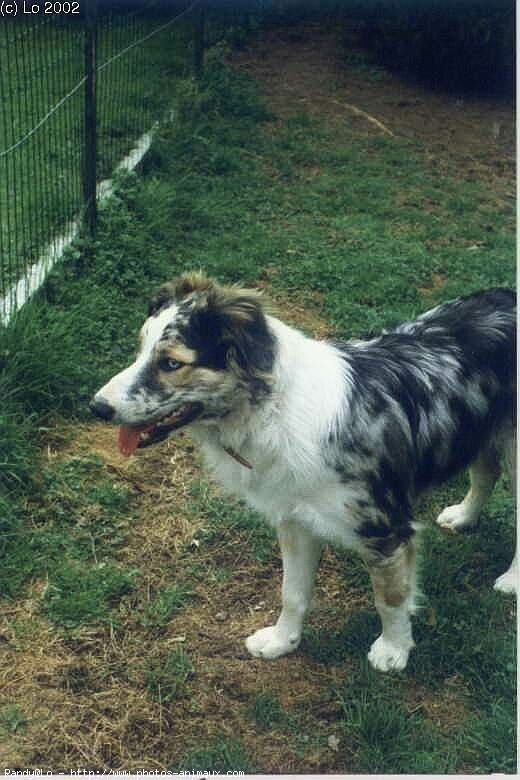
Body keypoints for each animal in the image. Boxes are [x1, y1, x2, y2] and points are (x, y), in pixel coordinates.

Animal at [89, 272, 516, 672]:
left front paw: (394, 649)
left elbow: (390, 598)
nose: (97, 407)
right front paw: (283, 641)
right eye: (140, 350)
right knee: (485, 473)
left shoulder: (385, 529)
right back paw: (464, 515)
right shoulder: (295, 520)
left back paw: (511, 579)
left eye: (171, 363)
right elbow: (292, 592)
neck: (272, 410)